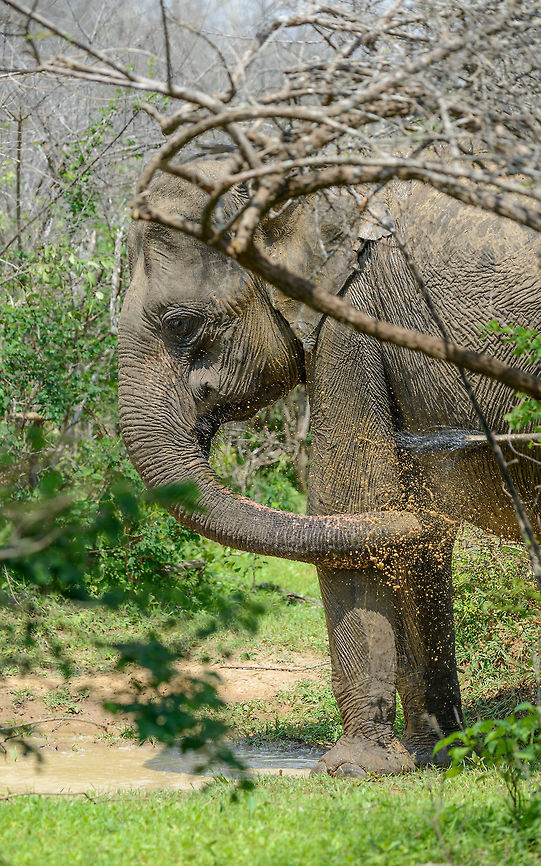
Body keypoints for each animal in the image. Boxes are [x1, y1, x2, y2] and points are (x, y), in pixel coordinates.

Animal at [118, 161, 541, 778]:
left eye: (182, 326)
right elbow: (401, 533)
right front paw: (431, 757)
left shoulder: (353, 319)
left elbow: (353, 506)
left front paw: (353, 770)